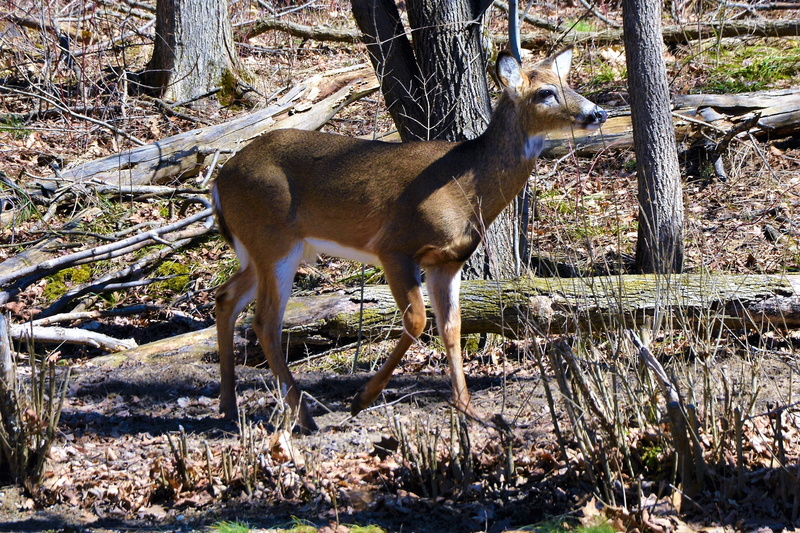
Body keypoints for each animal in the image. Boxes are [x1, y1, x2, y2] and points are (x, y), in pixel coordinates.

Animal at [211, 46, 607, 433]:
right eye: (545, 92)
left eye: (567, 83)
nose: (597, 112)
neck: (467, 188)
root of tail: (219, 179)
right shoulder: (395, 246)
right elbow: (417, 320)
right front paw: (362, 398)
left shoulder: (448, 262)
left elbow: (451, 326)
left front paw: (468, 409)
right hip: (275, 242)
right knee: (265, 322)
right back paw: (304, 417)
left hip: (261, 248)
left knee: (226, 297)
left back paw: (229, 407)